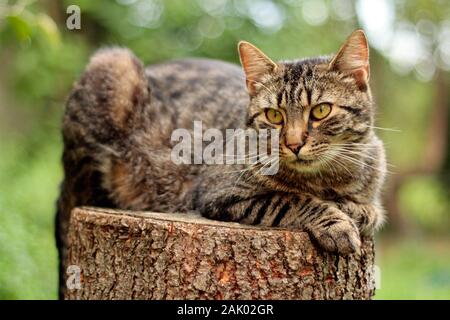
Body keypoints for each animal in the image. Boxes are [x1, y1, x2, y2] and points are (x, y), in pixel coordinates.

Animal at [57, 29, 386, 292]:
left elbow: (371, 211)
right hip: (113, 69)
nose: (293, 144)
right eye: (274, 116)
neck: (324, 180)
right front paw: (335, 223)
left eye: (320, 111)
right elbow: (291, 199)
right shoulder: (221, 193)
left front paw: (352, 209)